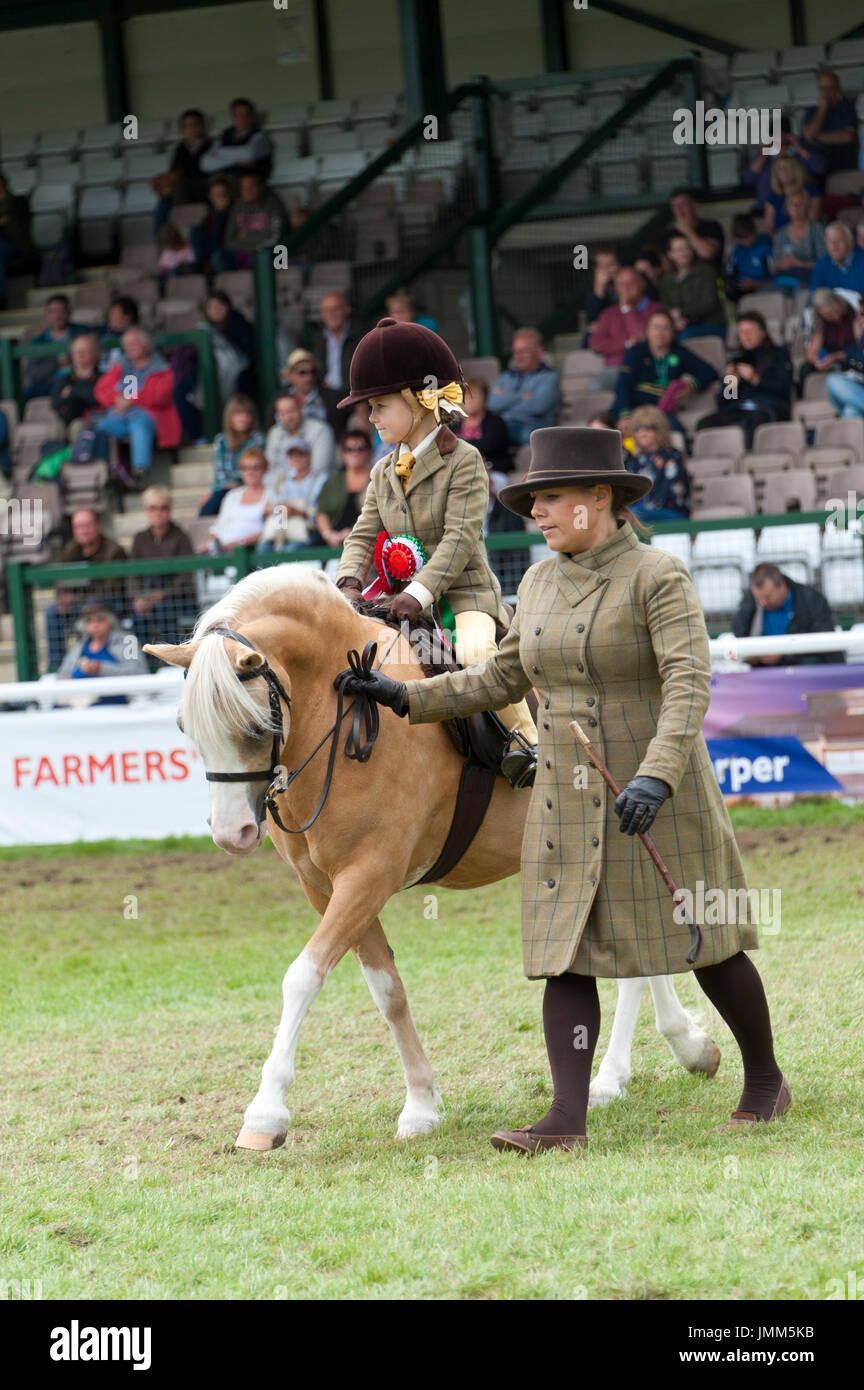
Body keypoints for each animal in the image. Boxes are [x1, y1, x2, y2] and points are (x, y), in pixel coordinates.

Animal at [145, 564, 722, 1150]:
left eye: (254, 726)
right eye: (184, 728)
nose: (232, 834)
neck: (337, 711)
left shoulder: (368, 876)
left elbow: (302, 977)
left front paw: (265, 1116)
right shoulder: (327, 887)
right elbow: (387, 990)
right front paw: (421, 1104)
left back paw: (630, 1068)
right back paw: (664, 1056)